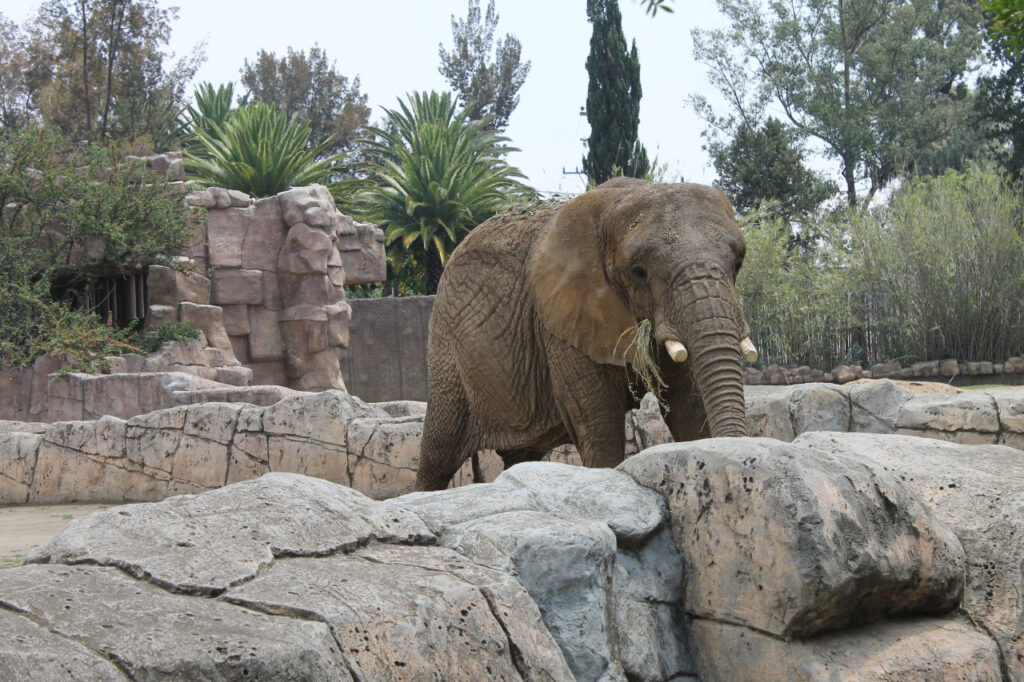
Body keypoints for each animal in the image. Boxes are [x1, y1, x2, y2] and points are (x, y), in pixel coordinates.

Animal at [411, 176, 757, 489]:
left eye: (739, 263)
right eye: (639, 271)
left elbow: (690, 410)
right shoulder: (560, 319)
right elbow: (598, 424)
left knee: (521, 455)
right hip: (447, 351)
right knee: (438, 453)